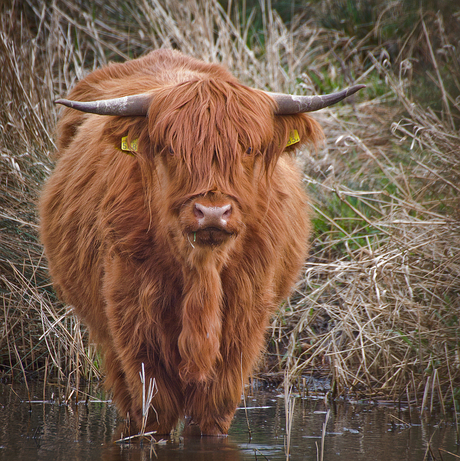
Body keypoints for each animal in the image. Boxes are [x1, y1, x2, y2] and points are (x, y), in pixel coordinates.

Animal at [38, 50, 362, 434]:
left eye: (248, 148)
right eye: (171, 149)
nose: (212, 212)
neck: (202, 271)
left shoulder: (242, 330)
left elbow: (211, 413)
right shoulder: (133, 326)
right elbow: (153, 411)